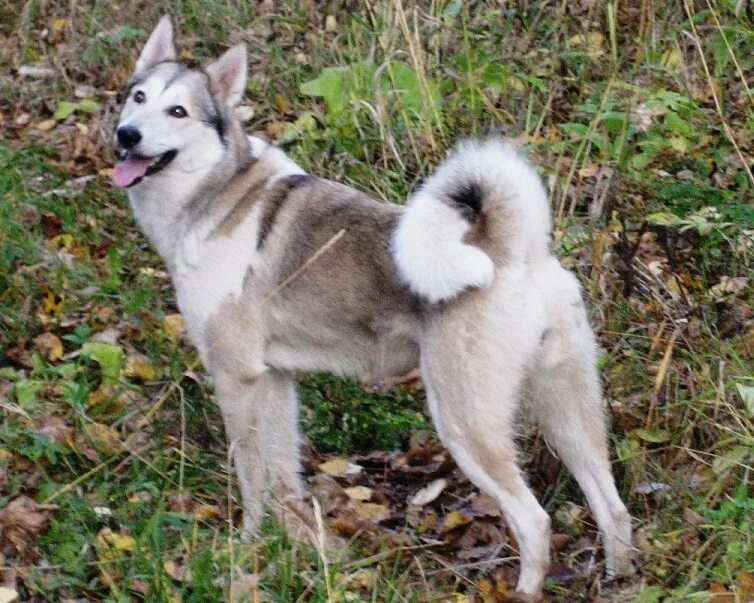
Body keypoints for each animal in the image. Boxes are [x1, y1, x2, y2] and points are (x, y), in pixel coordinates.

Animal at [111, 16, 632, 596]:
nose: (127, 134)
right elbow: (281, 476)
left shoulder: (237, 380)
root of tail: (511, 250)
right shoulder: (275, 381)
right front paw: (295, 544)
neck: (216, 193)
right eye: (138, 97)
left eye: (178, 111)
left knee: (535, 521)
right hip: (567, 415)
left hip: (464, 423)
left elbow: (250, 478)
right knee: (611, 506)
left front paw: (247, 547)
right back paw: (621, 578)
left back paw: (524, 591)